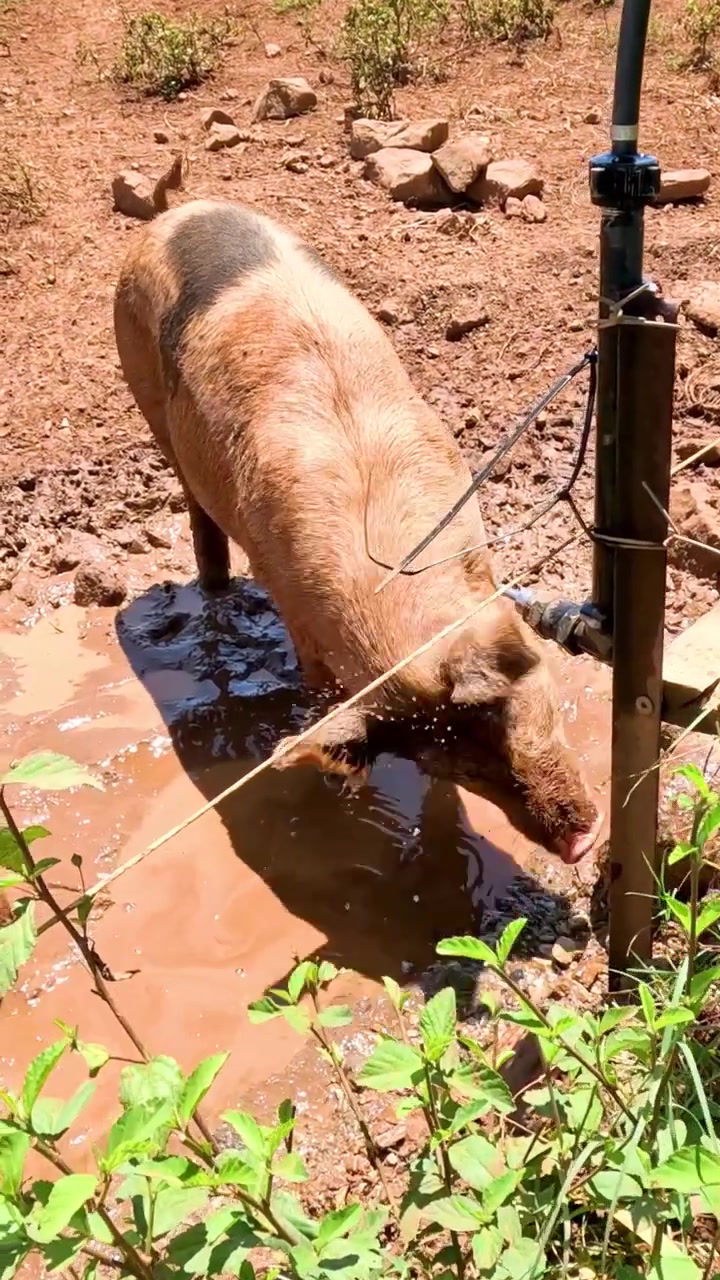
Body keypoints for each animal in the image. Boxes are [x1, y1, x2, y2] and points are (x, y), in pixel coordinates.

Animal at [114, 198, 601, 863]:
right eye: (467, 769)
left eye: (517, 715)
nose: (580, 842)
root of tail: (177, 213)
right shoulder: (298, 614)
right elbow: (319, 699)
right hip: (146, 394)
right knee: (197, 514)